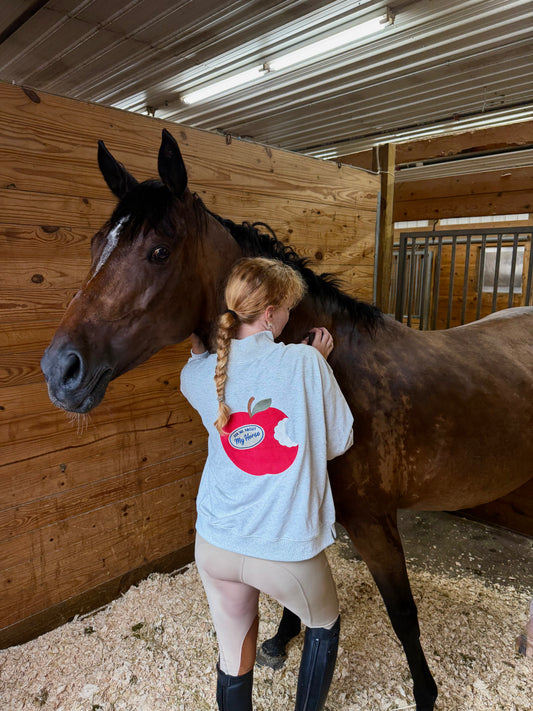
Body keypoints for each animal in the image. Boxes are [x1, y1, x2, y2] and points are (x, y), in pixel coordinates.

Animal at [41, 129, 533, 711]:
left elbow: (403, 613)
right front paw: (280, 640)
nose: (61, 370)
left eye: (158, 252)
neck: (339, 367)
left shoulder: (375, 522)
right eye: (97, 245)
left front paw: (426, 692)